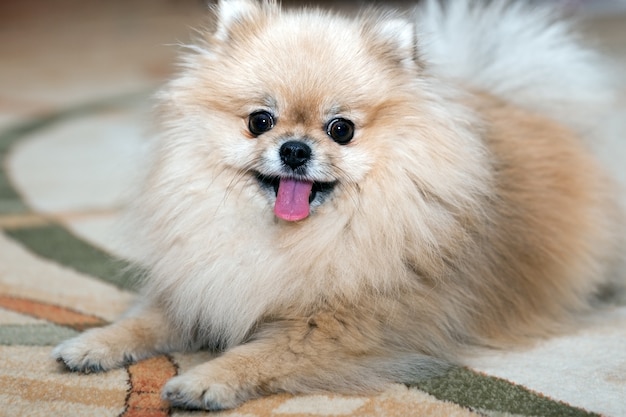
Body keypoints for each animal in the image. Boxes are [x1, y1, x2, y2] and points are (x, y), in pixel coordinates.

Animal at [52, 0, 620, 410]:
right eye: (260, 120)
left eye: (340, 129)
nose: (294, 149)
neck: (291, 239)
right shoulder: (204, 282)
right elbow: (146, 319)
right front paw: (93, 344)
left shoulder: (338, 328)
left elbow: (261, 352)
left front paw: (205, 380)